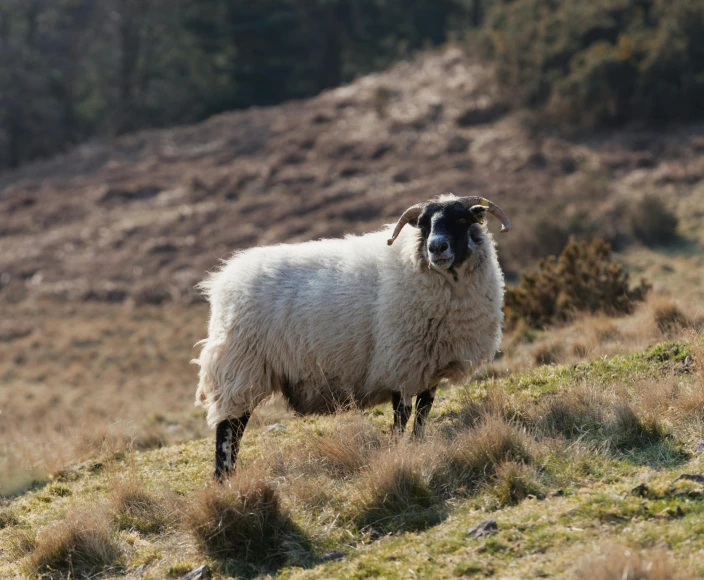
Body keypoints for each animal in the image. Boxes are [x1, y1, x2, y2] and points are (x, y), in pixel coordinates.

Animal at [195, 193, 508, 478]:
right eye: (422, 224)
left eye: (462, 220)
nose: (436, 247)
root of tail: (224, 281)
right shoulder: (400, 360)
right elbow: (402, 414)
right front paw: (397, 450)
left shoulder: (428, 366)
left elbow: (423, 412)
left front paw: (417, 444)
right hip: (240, 364)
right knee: (229, 428)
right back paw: (225, 478)